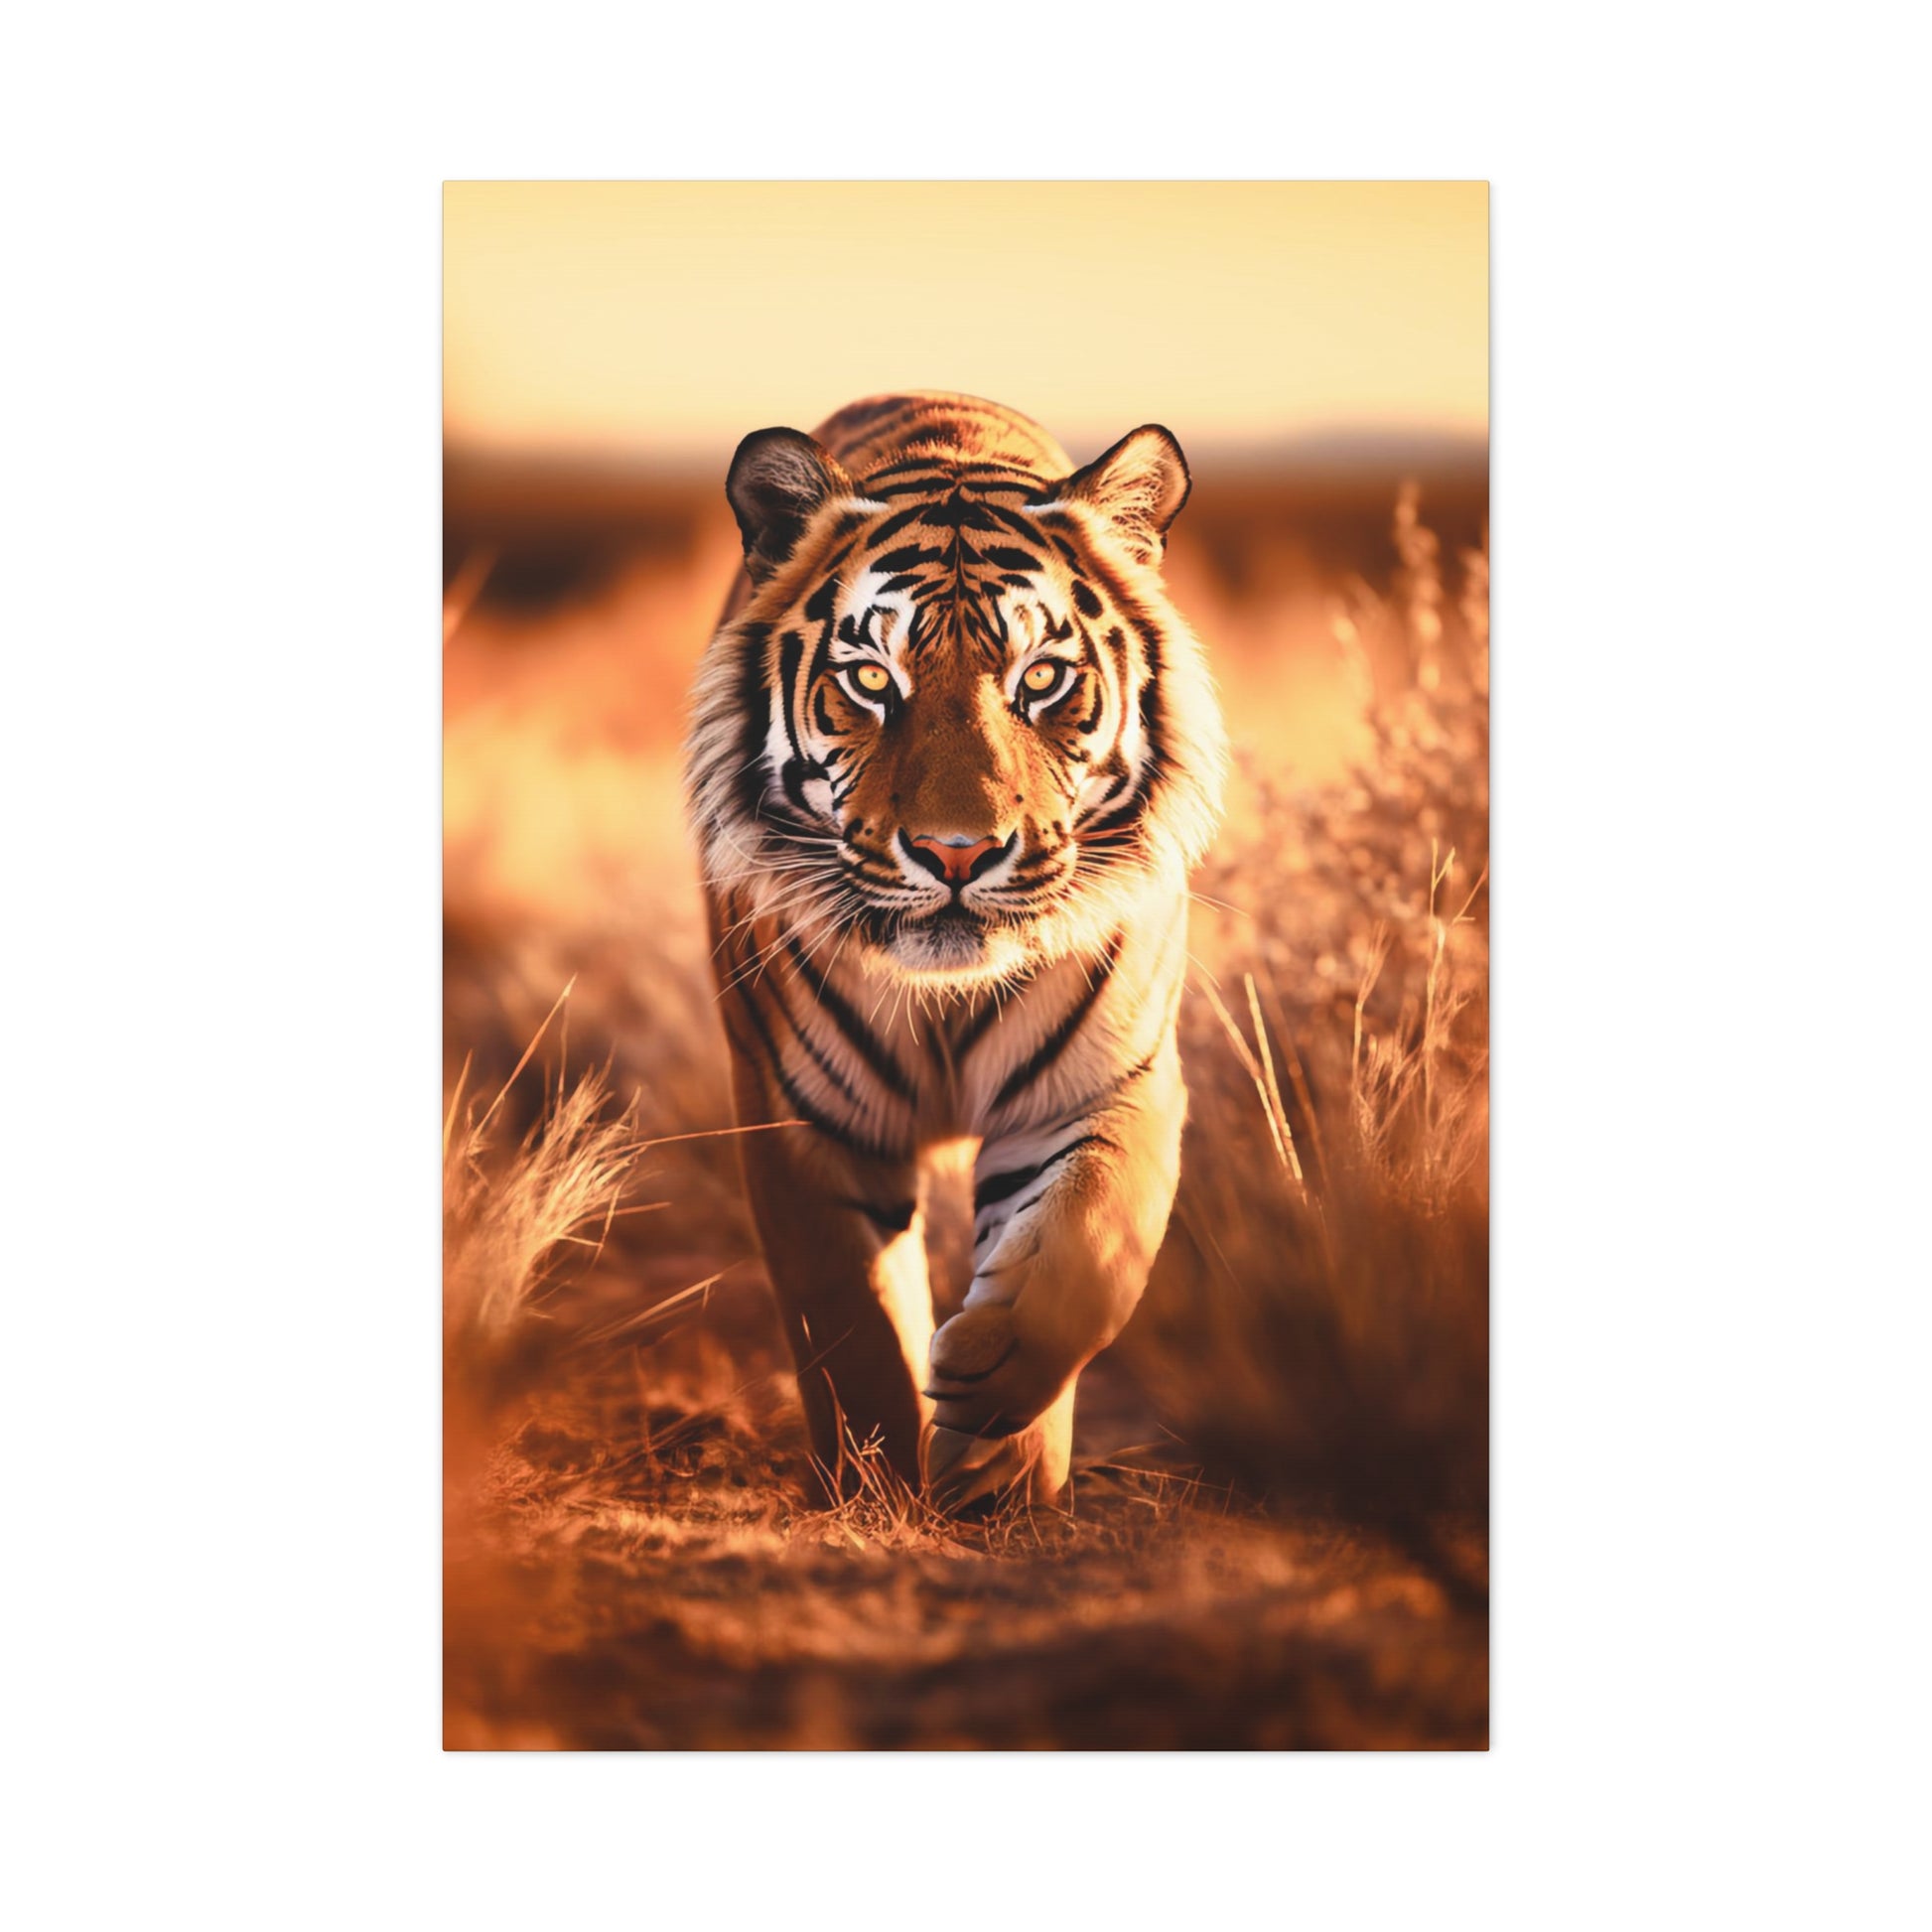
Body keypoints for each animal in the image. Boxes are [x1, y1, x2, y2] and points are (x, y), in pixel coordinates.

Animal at [684, 391, 1227, 1510]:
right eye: (868, 680)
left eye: (1043, 678)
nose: (955, 852)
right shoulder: (803, 1117)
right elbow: (850, 1324)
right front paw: (877, 1482)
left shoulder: (1107, 1082)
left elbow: (1089, 1246)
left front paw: (995, 1427)